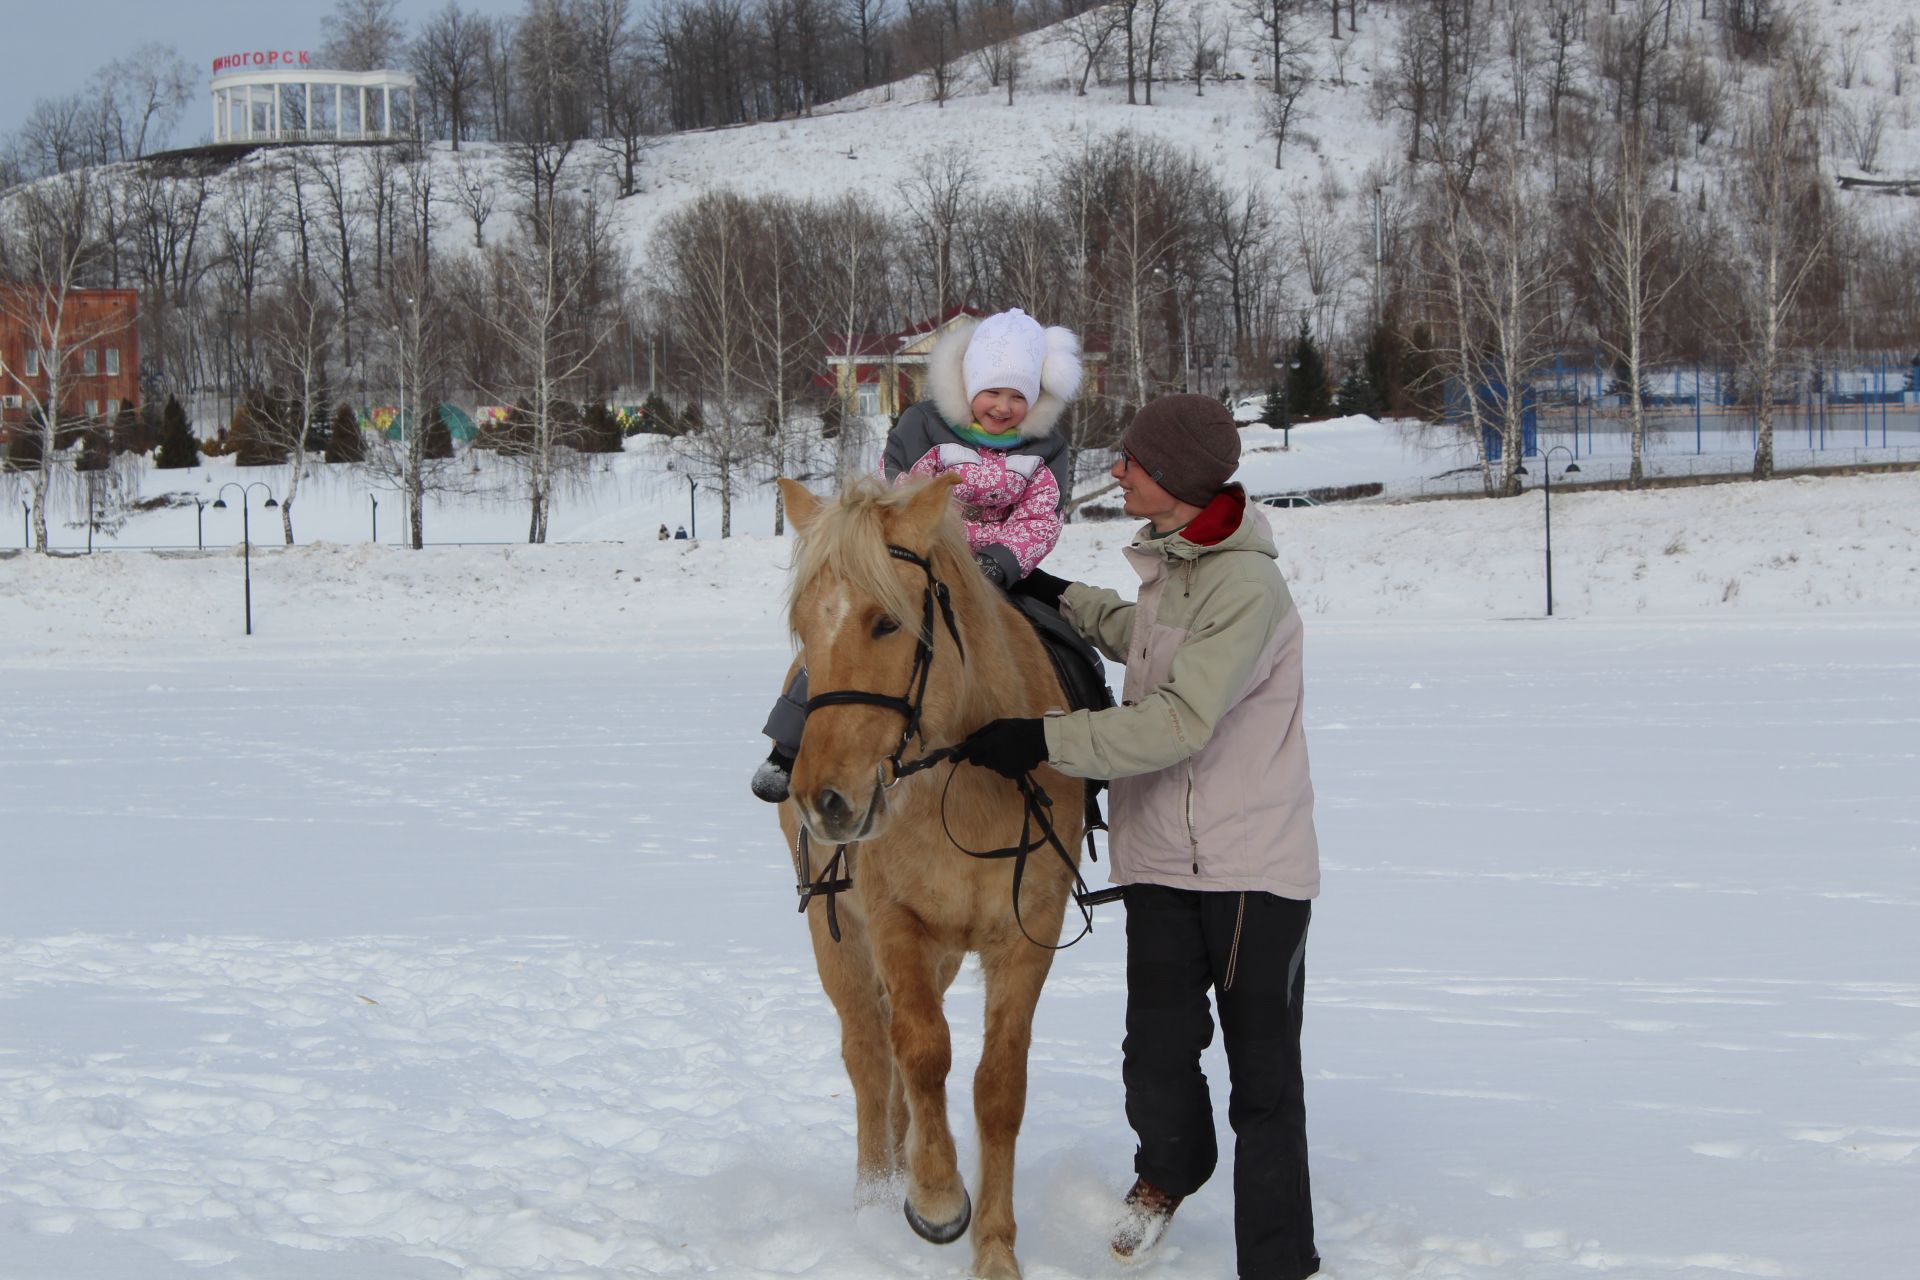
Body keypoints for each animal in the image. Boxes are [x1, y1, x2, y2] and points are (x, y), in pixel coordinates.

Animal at [771, 474, 1090, 1280]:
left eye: (887, 623)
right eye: (801, 625)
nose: (823, 801)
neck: (967, 775)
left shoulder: (1027, 933)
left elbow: (997, 1086)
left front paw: (996, 1248)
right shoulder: (893, 922)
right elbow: (921, 1052)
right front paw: (938, 1198)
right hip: (836, 934)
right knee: (868, 1052)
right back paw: (876, 1196)